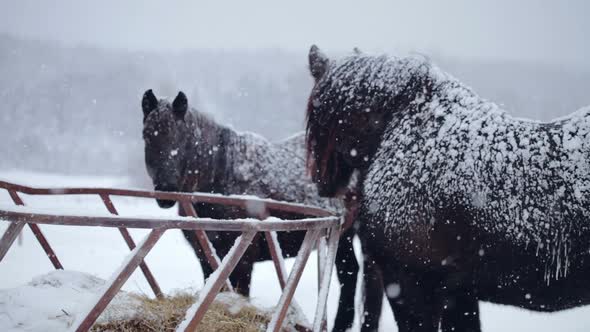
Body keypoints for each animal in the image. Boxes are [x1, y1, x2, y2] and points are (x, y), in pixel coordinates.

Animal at [143, 89, 364, 330]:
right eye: (147, 135)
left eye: (183, 138)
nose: (166, 189)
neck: (222, 177)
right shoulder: (205, 255)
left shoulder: (244, 257)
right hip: (344, 236)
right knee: (349, 272)